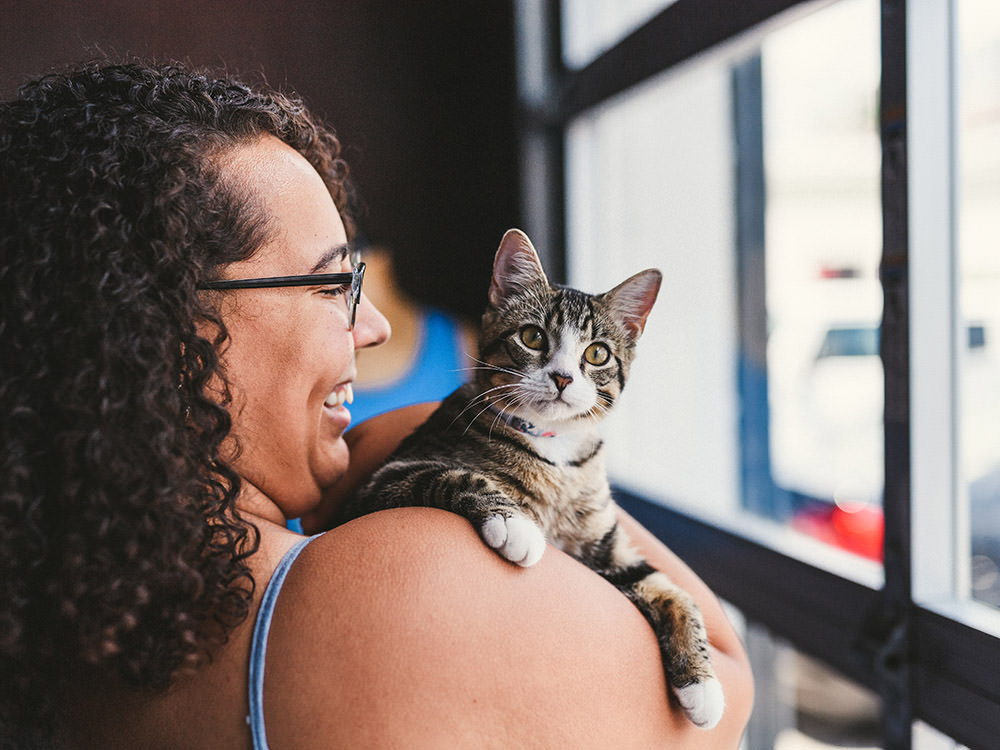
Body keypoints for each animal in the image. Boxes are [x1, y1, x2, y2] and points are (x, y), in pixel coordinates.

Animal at [340, 231, 724, 736]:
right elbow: (453, 473)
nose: (561, 376)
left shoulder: (605, 547)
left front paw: (703, 686)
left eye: (597, 353)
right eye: (532, 336)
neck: (557, 452)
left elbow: (672, 591)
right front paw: (516, 526)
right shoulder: (386, 479)